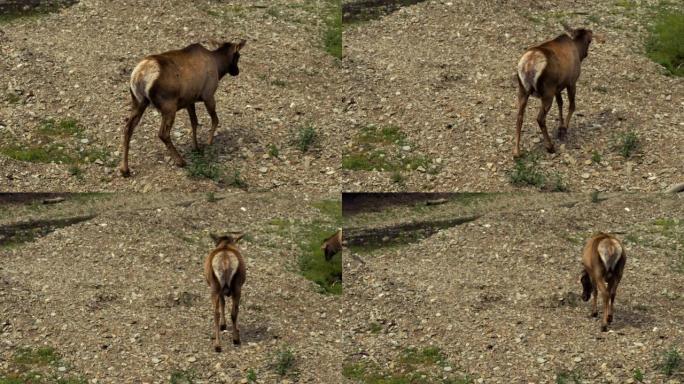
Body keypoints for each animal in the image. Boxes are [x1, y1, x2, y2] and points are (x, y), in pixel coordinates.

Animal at [119, 39, 246, 176]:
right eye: (238, 55)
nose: (236, 71)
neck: (219, 66)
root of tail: (138, 77)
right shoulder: (208, 95)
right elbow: (215, 120)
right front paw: (208, 142)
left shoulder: (189, 101)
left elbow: (194, 122)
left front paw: (196, 147)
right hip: (169, 105)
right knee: (163, 133)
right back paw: (180, 161)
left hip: (138, 101)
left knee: (128, 128)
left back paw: (124, 168)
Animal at [512, 22, 592, 158]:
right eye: (589, 41)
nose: (586, 54)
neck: (577, 49)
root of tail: (528, 65)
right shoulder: (571, 82)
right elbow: (572, 106)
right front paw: (564, 129)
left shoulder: (557, 88)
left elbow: (560, 104)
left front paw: (560, 127)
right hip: (547, 92)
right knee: (540, 118)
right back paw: (550, 146)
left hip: (523, 90)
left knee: (519, 116)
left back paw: (516, 151)